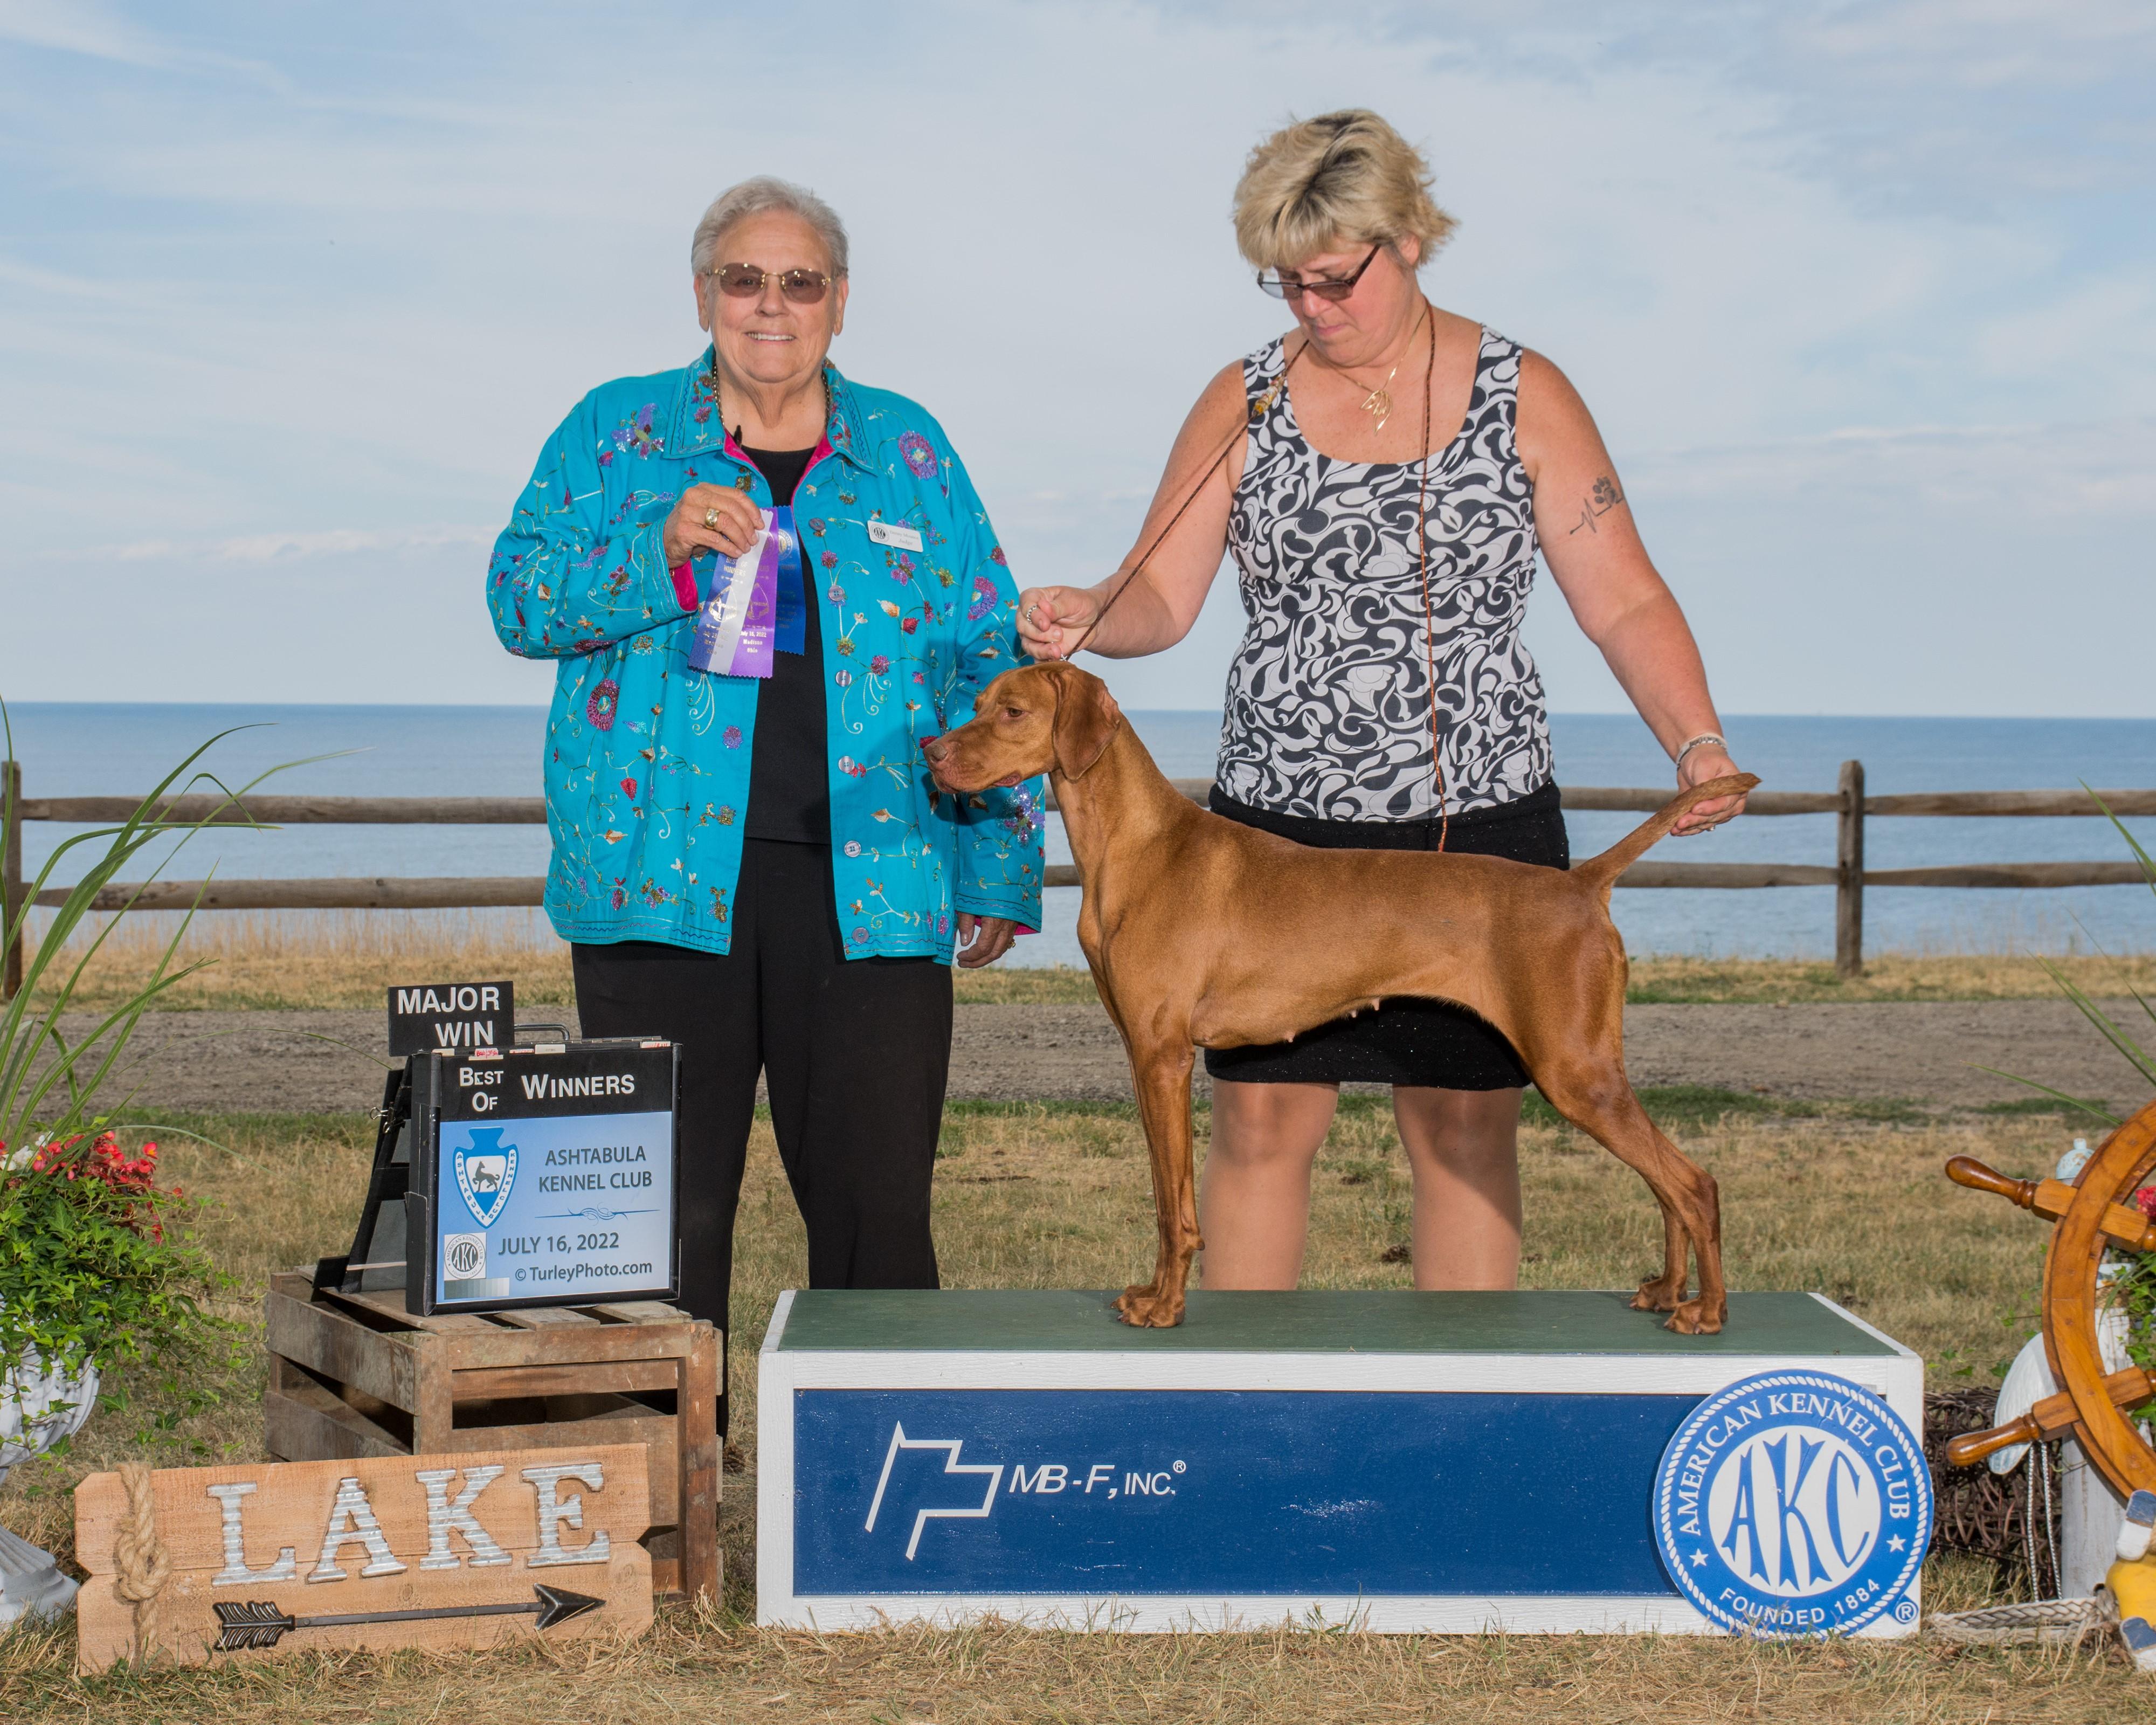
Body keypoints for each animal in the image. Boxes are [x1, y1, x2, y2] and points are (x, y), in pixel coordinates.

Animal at [924, 661, 1758, 1334]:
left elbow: (1173, 1205)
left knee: (1694, 1183)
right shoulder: (1143, 1056)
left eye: (1013, 711)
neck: (1138, 846)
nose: (929, 751)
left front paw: (1164, 1306)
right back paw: (1667, 1290)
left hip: (1574, 1069)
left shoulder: (1162, 1057)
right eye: (978, 702)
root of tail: (1581, 883)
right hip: (1590, 1071)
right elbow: (1167, 1190)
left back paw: (1708, 1310)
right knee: (1666, 1184)